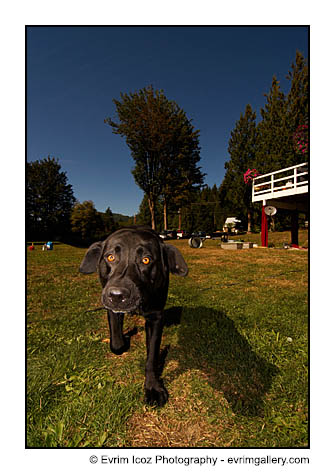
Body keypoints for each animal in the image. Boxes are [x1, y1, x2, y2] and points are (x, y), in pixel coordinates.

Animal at [79, 225, 189, 404]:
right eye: (110, 257)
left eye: (146, 260)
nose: (117, 295)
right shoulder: (112, 309)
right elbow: (117, 345)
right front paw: (125, 339)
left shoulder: (156, 317)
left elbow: (152, 356)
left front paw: (152, 387)